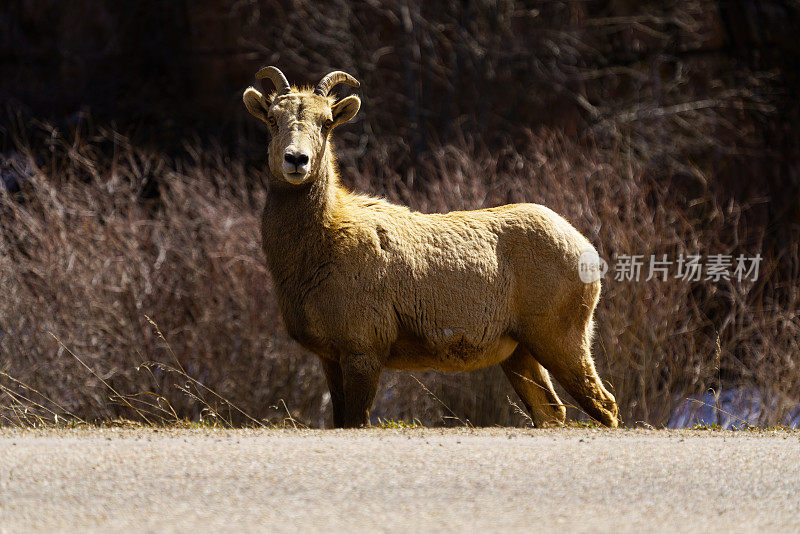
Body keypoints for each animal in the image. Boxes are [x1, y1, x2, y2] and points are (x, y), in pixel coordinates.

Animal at [242, 67, 620, 430]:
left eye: (326, 121)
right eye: (273, 119)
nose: (296, 160)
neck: (319, 249)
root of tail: (586, 251)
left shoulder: (363, 350)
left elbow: (356, 421)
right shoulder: (330, 357)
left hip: (561, 337)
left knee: (605, 404)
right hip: (520, 352)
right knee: (552, 411)